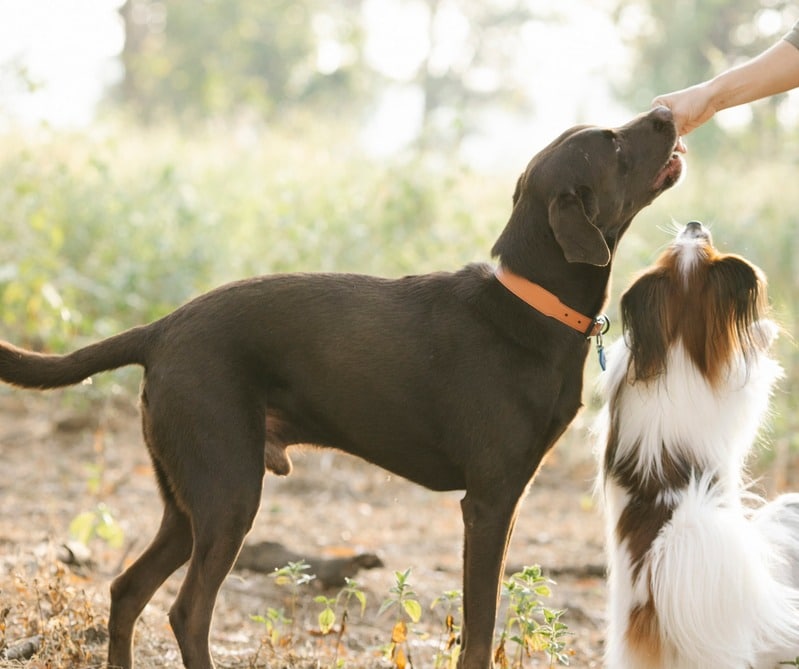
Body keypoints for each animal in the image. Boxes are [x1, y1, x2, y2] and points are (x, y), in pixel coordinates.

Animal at [0, 107, 684, 664]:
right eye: (614, 143)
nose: (665, 113)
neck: (529, 303)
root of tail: (160, 329)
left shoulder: (508, 499)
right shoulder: (489, 502)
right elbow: (480, 631)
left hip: (187, 500)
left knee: (126, 590)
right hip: (228, 494)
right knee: (186, 612)